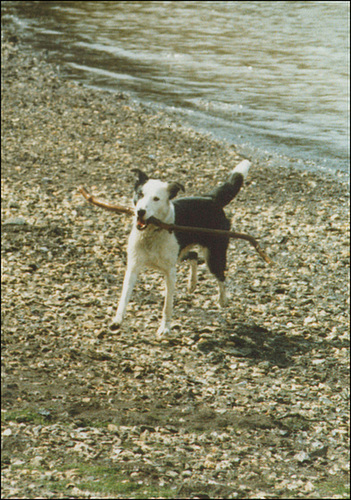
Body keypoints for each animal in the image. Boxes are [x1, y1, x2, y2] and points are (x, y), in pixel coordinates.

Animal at [111, 158, 252, 334]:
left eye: (156, 199)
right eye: (140, 194)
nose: (140, 211)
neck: (152, 233)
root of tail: (211, 199)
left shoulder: (170, 273)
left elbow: (167, 305)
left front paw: (165, 328)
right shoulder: (133, 267)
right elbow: (124, 297)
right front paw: (117, 320)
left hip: (214, 255)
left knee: (220, 276)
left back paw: (222, 299)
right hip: (182, 252)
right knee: (194, 256)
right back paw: (192, 284)